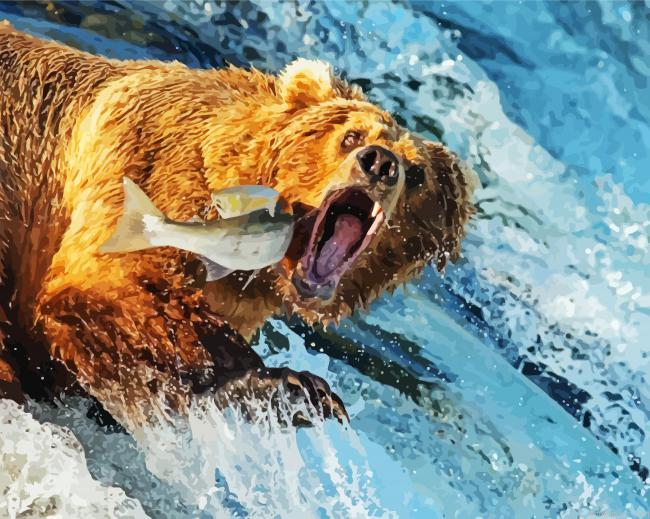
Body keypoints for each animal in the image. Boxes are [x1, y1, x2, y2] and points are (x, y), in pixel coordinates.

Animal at [0, 23, 473, 431]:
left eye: (417, 174)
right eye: (353, 136)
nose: (381, 164)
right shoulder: (144, 162)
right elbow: (103, 285)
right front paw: (292, 383)